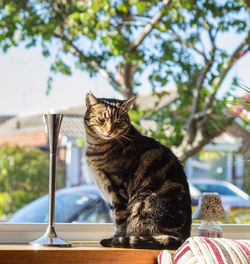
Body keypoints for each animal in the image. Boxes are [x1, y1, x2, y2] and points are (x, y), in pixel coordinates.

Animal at [84, 93, 191, 250]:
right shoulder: (108, 193)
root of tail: (181, 238)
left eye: (118, 122)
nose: (109, 131)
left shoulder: (117, 190)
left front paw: (116, 238)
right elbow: (114, 217)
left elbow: (120, 220)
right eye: (101, 120)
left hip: (144, 204)